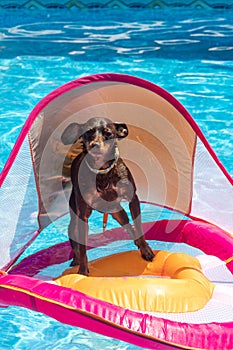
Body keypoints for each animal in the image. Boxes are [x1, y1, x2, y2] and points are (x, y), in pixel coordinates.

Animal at [61, 117, 155, 276]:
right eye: (88, 132)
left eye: (108, 133)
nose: (95, 145)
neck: (102, 171)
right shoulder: (83, 216)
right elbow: (83, 248)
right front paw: (83, 271)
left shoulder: (133, 199)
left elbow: (139, 227)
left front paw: (146, 250)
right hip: (76, 220)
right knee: (75, 241)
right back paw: (76, 260)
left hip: (117, 212)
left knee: (129, 226)